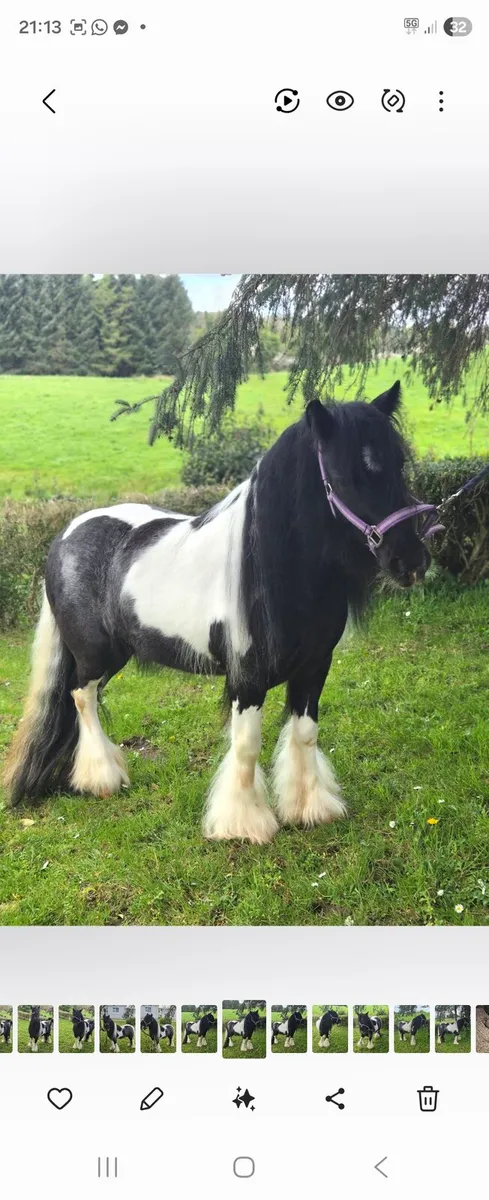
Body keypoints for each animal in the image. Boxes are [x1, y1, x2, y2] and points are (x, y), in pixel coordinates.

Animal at [4, 382, 432, 845]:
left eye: (399, 462)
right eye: (346, 475)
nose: (412, 562)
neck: (276, 570)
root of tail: (66, 533)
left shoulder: (314, 667)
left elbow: (304, 734)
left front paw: (310, 808)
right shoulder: (248, 678)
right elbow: (246, 745)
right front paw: (243, 824)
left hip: (115, 656)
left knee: (89, 699)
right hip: (94, 654)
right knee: (82, 697)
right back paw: (103, 778)